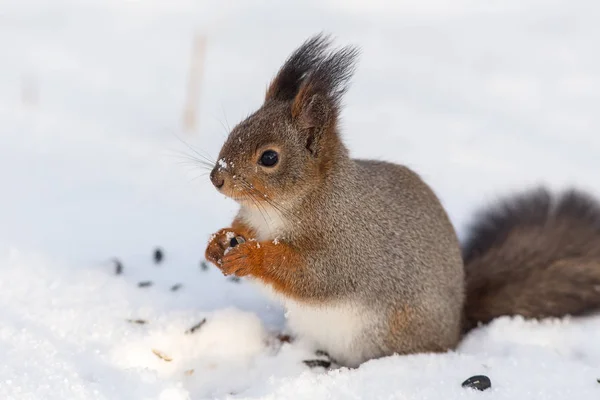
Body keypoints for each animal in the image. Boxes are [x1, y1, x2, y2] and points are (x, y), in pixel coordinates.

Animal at [204, 34, 600, 368]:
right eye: (236, 130)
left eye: (269, 157)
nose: (216, 178)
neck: (275, 211)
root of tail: (455, 326)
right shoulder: (254, 220)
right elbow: (240, 231)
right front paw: (217, 243)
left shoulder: (348, 244)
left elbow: (314, 275)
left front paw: (252, 256)